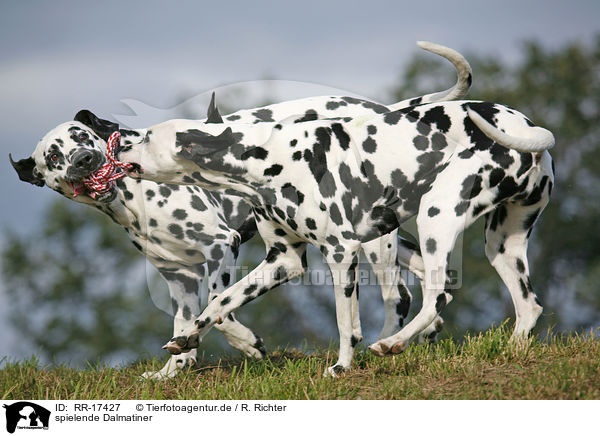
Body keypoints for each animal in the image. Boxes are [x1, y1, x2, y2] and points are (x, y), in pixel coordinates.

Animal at [8, 42, 468, 380]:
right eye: (53, 156)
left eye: (81, 136)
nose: (84, 159)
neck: (135, 200)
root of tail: (382, 109)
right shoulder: (179, 280)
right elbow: (187, 324)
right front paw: (172, 369)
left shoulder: (221, 247)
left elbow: (221, 306)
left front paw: (247, 341)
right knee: (431, 282)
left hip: (374, 245)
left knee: (397, 296)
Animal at [111, 93, 552, 376]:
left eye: (147, 136)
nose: (115, 147)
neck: (269, 157)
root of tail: (526, 126)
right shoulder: (283, 261)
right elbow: (219, 303)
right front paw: (190, 339)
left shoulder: (340, 252)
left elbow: (345, 324)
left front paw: (341, 366)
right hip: (501, 247)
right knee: (528, 306)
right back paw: (512, 350)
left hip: (435, 218)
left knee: (438, 296)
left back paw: (392, 343)